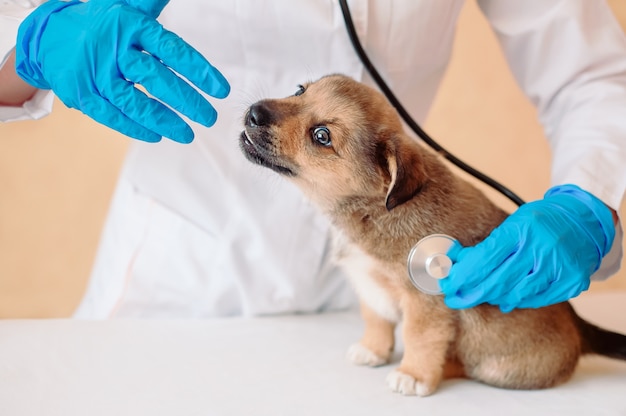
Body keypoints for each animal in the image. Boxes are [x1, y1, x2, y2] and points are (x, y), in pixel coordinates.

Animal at [238, 74, 624, 396]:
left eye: (321, 136)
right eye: (299, 91)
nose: (254, 113)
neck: (375, 209)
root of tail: (581, 330)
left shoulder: (425, 303)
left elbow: (418, 337)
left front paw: (413, 375)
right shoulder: (370, 286)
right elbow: (376, 320)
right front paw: (373, 350)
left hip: (498, 368)